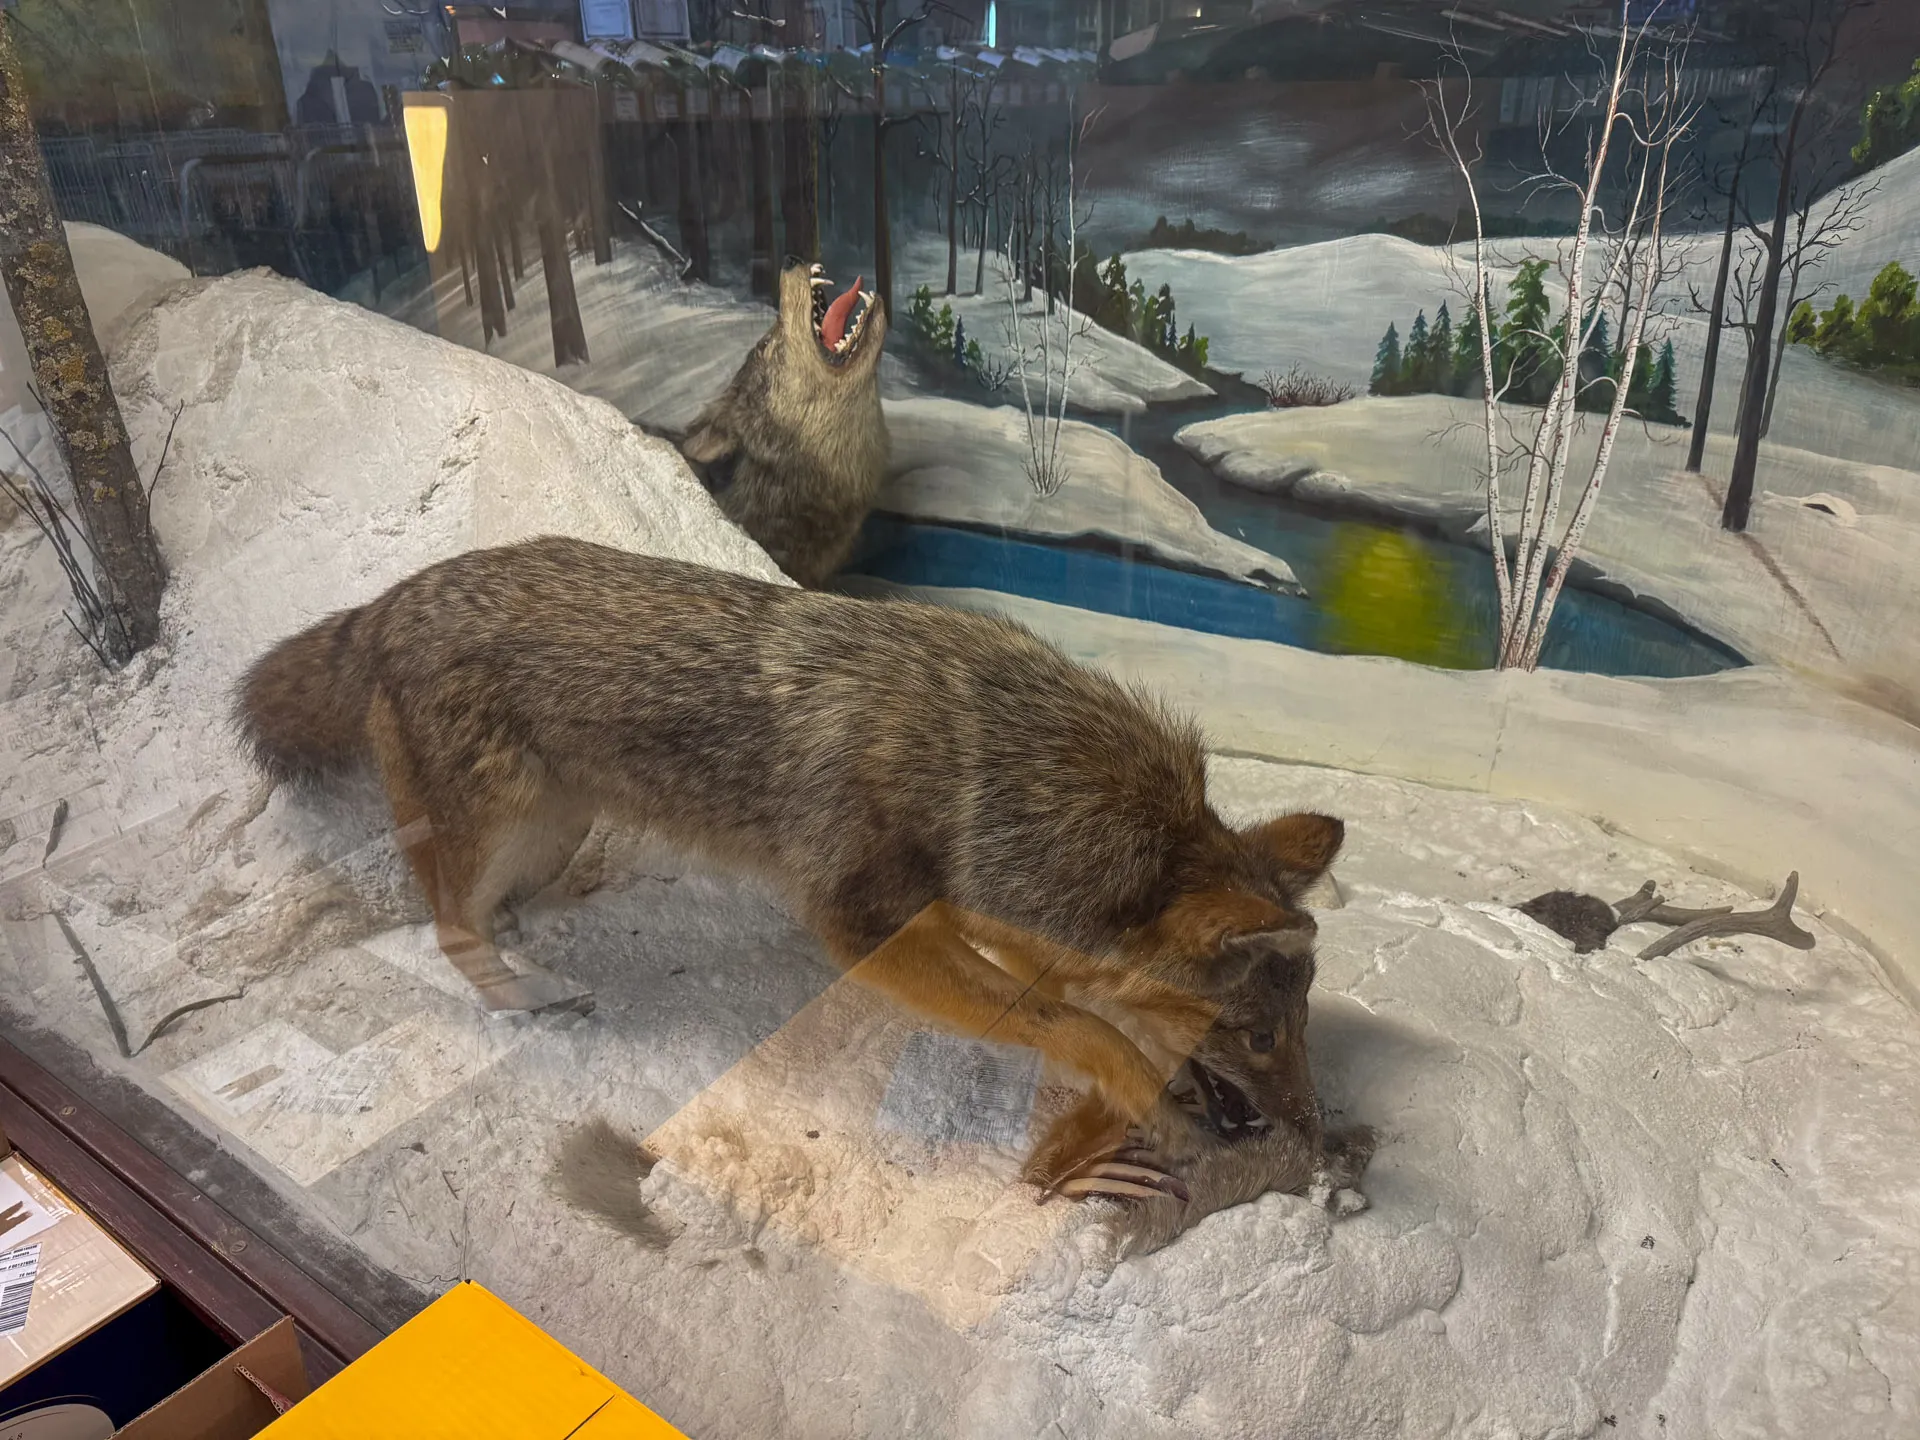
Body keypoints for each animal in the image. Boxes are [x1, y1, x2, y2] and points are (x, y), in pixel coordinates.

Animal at [234, 537, 1347, 1197]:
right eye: (1257, 1035)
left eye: (1298, 1031)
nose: (1319, 1139)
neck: (989, 768)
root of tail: (388, 599)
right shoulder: (860, 929)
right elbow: (1070, 1022)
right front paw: (1143, 1096)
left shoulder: (955, 918)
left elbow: (1054, 1001)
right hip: (500, 831)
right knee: (447, 927)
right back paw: (533, 995)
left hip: (554, 830)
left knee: (484, 913)